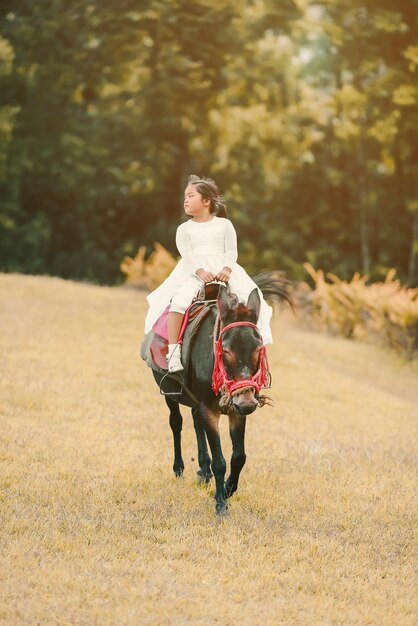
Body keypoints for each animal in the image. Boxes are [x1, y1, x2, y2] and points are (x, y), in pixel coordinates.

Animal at [152, 272, 292, 512]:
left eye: (259, 348)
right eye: (225, 350)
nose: (247, 403)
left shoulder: (236, 411)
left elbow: (239, 457)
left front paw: (227, 489)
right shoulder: (210, 409)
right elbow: (220, 461)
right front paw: (220, 504)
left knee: (195, 420)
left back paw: (203, 471)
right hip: (170, 392)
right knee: (176, 423)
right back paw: (179, 468)